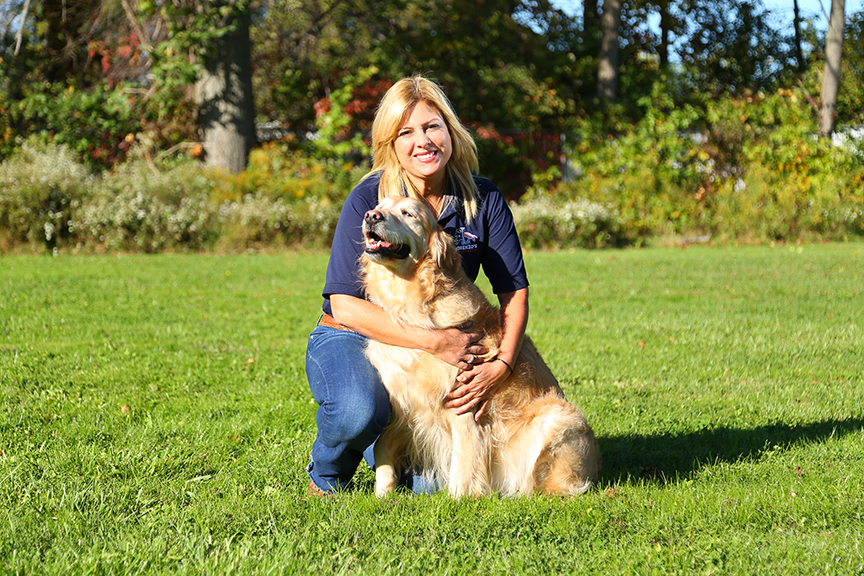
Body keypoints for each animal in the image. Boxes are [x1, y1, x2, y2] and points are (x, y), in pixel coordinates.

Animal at [360, 197, 600, 496]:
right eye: (380, 205)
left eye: (408, 213)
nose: (371, 216)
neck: (411, 304)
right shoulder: (400, 404)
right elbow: (383, 451)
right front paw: (382, 497)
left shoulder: (464, 406)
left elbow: (463, 466)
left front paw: (459, 499)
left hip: (557, 421)